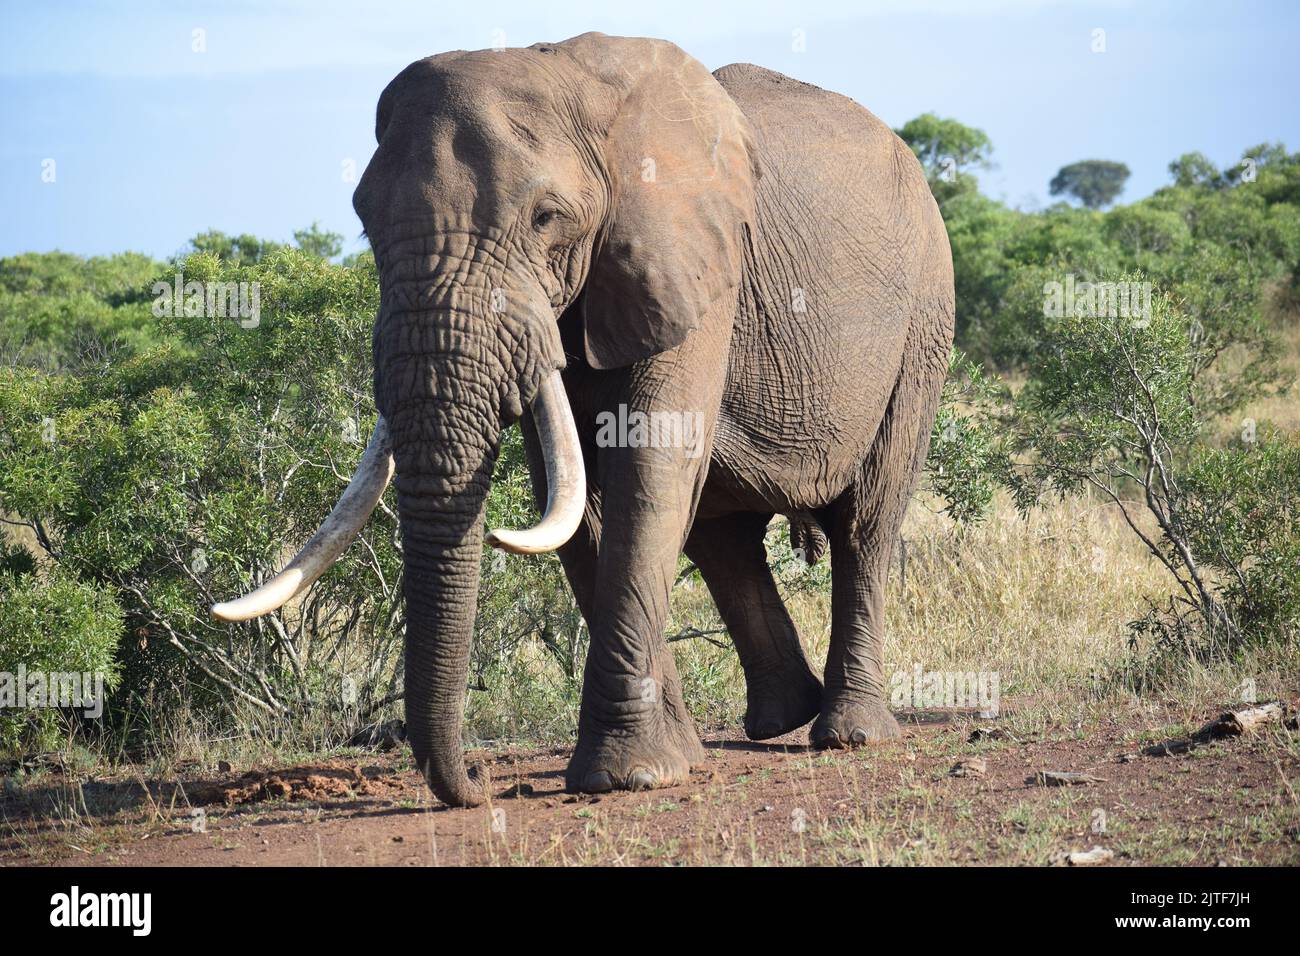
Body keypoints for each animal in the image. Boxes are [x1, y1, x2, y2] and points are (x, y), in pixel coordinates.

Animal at [208, 31, 951, 806]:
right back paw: (780, 718)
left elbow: (649, 468)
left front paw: (625, 777)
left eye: (545, 218)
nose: (478, 782)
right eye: (364, 223)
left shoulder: (696, 268)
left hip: (924, 317)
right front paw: (664, 760)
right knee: (724, 539)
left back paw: (849, 732)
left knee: (865, 521)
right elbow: (573, 497)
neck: (569, 74)